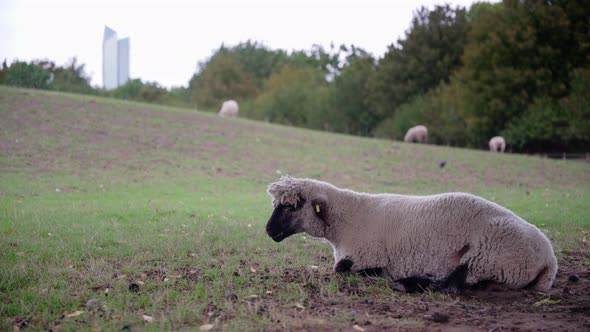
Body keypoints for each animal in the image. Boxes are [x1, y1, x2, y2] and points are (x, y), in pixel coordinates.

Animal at [268, 175, 560, 292]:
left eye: (291, 205)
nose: (268, 230)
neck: (349, 217)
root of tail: (550, 259)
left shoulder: (364, 256)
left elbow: (343, 269)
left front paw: (383, 274)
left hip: (489, 255)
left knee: (453, 285)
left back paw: (407, 283)